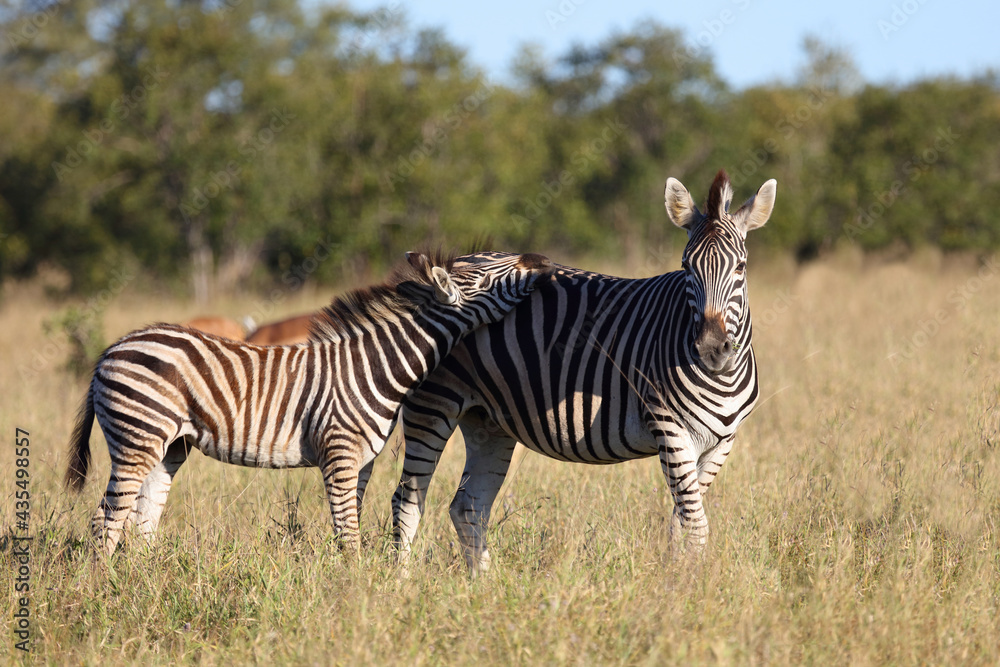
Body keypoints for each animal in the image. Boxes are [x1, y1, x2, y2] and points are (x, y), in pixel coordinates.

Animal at [64, 250, 554, 556]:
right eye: (491, 274)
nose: (543, 260)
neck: (376, 365)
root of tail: (111, 349)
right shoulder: (338, 454)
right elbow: (349, 536)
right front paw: (356, 597)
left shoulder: (362, 462)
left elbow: (350, 525)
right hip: (137, 437)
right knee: (105, 521)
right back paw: (105, 589)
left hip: (169, 446)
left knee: (141, 520)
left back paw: (145, 581)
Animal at [392, 170, 777, 573]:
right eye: (686, 268)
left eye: (741, 268)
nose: (710, 349)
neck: (721, 377)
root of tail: (454, 263)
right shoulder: (669, 428)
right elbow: (695, 524)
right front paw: (688, 582)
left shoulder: (722, 441)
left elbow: (681, 522)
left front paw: (682, 575)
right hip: (433, 403)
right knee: (407, 502)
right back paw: (402, 582)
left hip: (487, 419)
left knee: (468, 506)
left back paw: (483, 583)